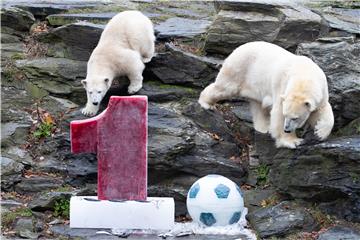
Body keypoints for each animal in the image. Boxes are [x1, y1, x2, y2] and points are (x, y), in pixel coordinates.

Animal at [198, 42, 334, 149]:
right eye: (286, 115)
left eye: (295, 118)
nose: (287, 129)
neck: (304, 75)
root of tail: (236, 49)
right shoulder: (282, 88)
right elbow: (278, 114)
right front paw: (292, 141)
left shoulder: (321, 91)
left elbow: (323, 110)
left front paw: (320, 132)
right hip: (239, 69)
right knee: (225, 87)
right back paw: (206, 103)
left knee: (258, 106)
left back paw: (264, 128)